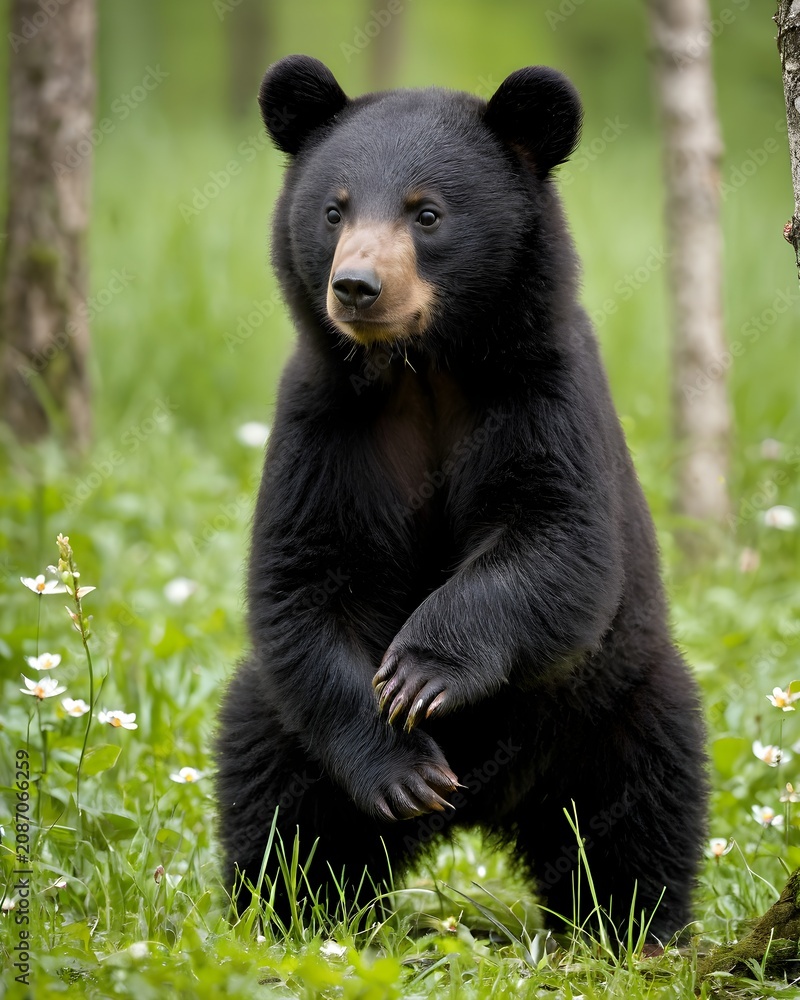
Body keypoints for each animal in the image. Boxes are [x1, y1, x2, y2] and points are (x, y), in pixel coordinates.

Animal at [215, 54, 708, 945]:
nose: (357, 287)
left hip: (610, 707)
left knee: (639, 806)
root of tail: (479, 815)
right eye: (335, 209)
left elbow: (559, 542)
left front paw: (421, 673)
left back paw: (627, 925)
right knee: (276, 794)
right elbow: (303, 576)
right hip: (285, 722)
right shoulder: (325, 423)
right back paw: (294, 910)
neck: (426, 371)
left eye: (427, 214)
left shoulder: (544, 394)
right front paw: (401, 764)